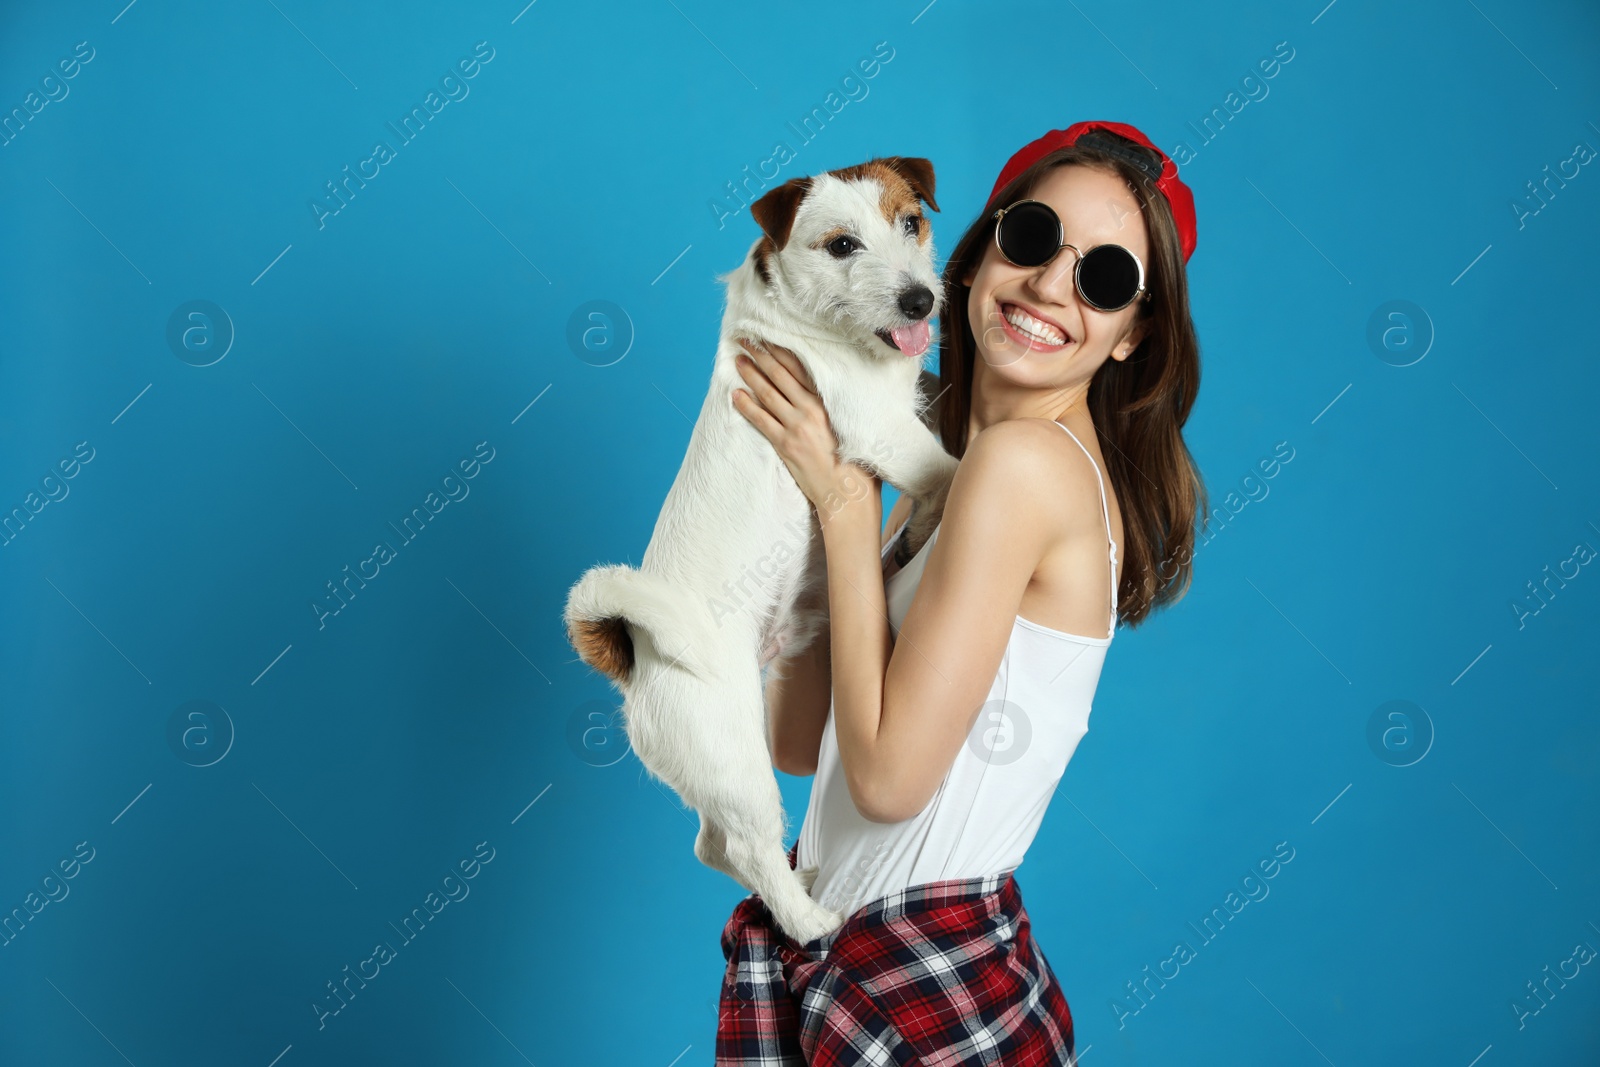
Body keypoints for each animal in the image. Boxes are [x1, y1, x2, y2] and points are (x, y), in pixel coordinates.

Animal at [563, 156, 953, 940]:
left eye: (910, 222)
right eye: (841, 245)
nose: (919, 300)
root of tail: (634, 662)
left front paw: (912, 535)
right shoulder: (881, 429)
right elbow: (952, 469)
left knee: (713, 845)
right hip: (736, 759)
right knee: (741, 844)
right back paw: (810, 922)